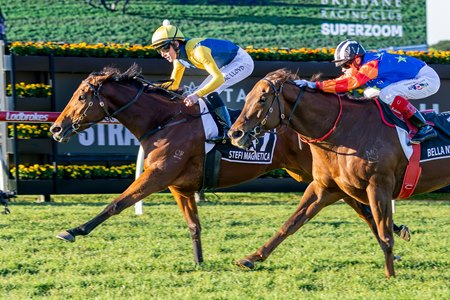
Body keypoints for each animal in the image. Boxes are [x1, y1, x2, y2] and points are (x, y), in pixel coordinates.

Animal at [51, 65, 410, 264]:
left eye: (81, 96)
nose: (56, 128)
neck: (164, 120)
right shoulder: (179, 185)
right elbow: (194, 225)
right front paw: (199, 262)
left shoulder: (157, 175)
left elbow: (117, 203)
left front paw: (73, 230)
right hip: (317, 175)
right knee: (360, 206)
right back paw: (393, 237)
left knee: (362, 207)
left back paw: (392, 238)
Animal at [229, 68, 450, 276]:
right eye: (247, 97)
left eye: (262, 99)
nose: (234, 133)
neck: (344, 131)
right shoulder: (325, 188)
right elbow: (291, 223)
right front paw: (251, 258)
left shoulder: (379, 185)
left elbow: (385, 234)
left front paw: (390, 277)